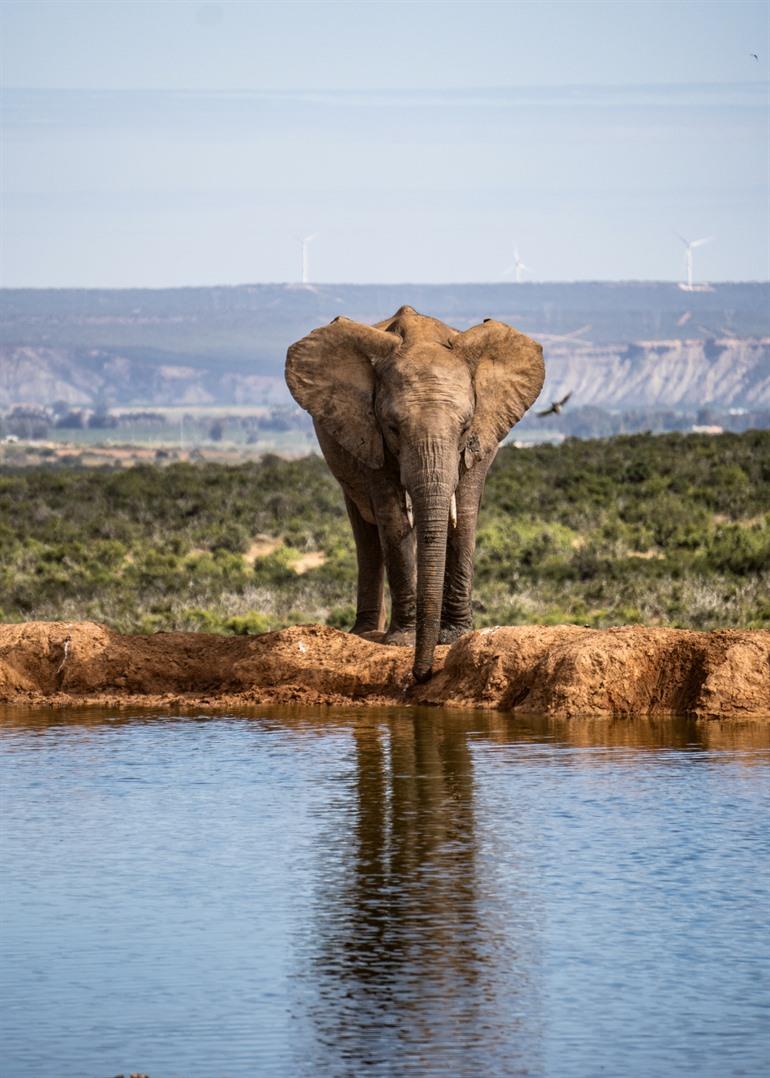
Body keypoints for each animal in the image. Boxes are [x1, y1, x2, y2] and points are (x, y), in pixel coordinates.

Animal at [285, 306, 544, 682]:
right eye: (393, 427)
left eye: (465, 426)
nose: (423, 674)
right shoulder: (369, 433)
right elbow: (392, 518)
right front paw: (402, 642)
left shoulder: (483, 434)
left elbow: (465, 516)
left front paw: (455, 636)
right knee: (364, 528)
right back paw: (365, 633)